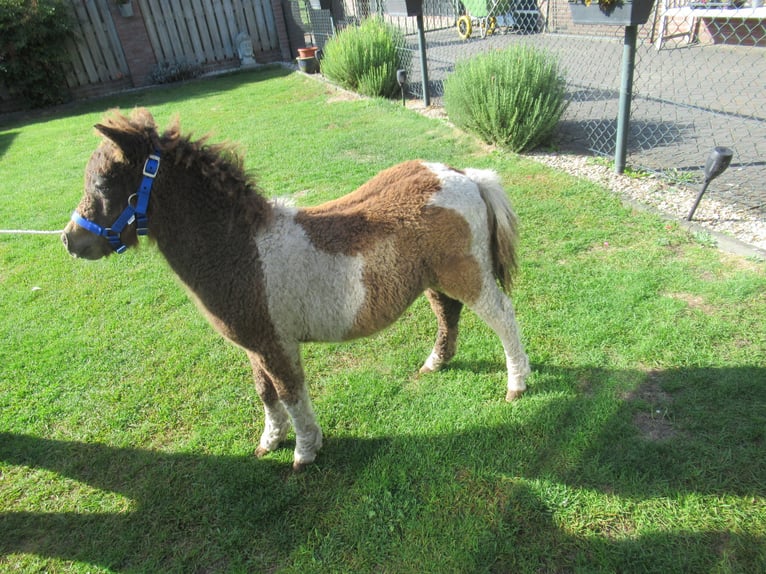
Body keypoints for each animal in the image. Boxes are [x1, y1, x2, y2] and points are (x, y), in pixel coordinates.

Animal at [62, 108, 530, 470]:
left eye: (103, 184)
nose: (70, 240)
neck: (239, 248)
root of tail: (463, 175)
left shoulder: (277, 343)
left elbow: (290, 392)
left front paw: (305, 451)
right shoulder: (255, 345)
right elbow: (265, 392)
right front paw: (269, 441)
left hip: (469, 276)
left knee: (503, 316)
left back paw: (517, 384)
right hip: (435, 279)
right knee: (448, 313)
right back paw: (435, 362)